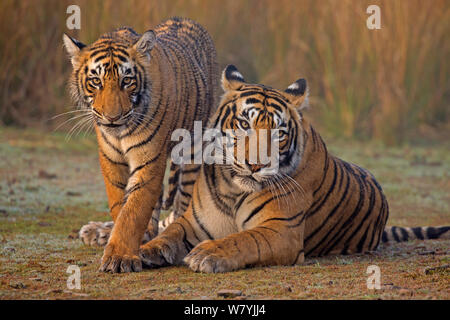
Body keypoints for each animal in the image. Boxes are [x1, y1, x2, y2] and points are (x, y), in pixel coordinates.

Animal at [62, 16, 218, 272]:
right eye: (96, 81)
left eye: (127, 81)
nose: (112, 117)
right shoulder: (111, 160)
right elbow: (120, 206)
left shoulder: (149, 161)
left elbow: (133, 210)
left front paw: (119, 257)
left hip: (194, 151)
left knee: (183, 205)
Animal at [137, 65, 450, 272]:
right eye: (244, 123)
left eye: (279, 133)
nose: (255, 165)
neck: (233, 190)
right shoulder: (194, 221)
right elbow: (171, 232)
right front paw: (147, 249)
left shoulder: (281, 230)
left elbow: (243, 239)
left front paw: (207, 254)